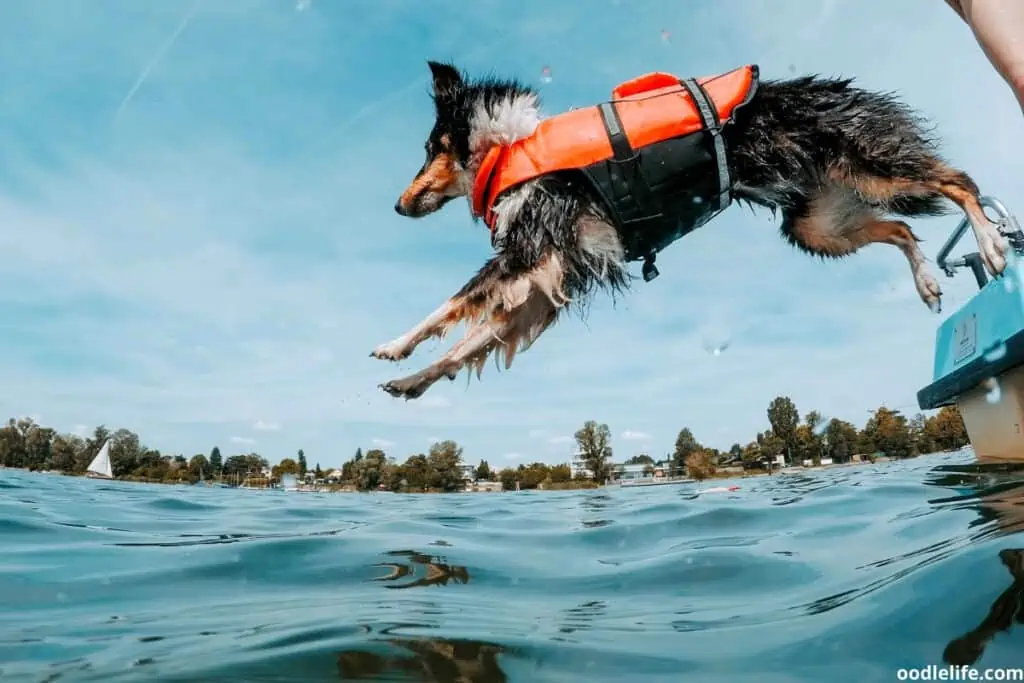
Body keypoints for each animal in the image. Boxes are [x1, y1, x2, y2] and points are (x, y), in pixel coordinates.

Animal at [370, 62, 1007, 401]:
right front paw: (415, 380)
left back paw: (993, 245)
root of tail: (839, 89)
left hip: (874, 171)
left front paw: (395, 346)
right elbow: (470, 340)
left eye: (430, 149)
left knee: (961, 182)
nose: (398, 206)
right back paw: (926, 283)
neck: (511, 146)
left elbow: (453, 306)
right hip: (817, 226)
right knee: (900, 228)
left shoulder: (531, 254)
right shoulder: (551, 281)